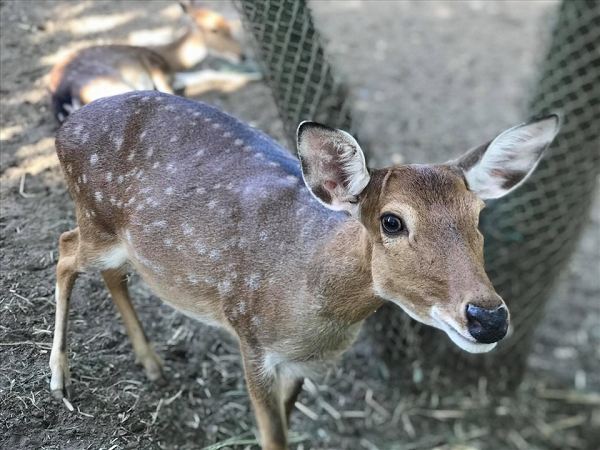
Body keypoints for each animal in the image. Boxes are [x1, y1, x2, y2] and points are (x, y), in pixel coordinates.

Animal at [48, 1, 246, 123]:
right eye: (214, 29)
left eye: (227, 24)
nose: (242, 55)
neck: (169, 57)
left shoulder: (172, 75)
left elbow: (205, 73)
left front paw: (245, 77)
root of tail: (64, 99)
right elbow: (169, 91)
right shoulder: (154, 67)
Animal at [49, 89, 560, 448]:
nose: (489, 318)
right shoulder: (250, 334)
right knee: (65, 249)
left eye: (477, 215)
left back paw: (152, 364)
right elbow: (273, 434)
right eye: (391, 221)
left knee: (108, 270)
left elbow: (287, 425)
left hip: (118, 242)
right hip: (95, 219)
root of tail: (64, 127)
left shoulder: (299, 364)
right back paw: (60, 378)